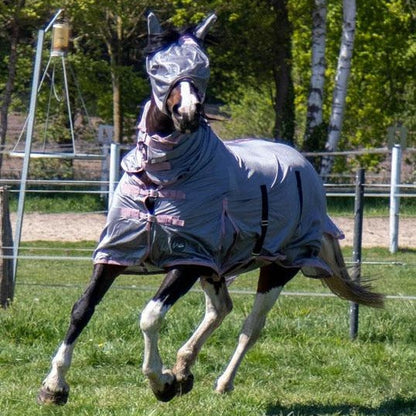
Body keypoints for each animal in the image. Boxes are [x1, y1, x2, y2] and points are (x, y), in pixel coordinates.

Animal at [38, 13, 384, 406]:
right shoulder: (117, 253)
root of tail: (304, 165)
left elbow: (150, 317)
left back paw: (221, 382)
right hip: (216, 268)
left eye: (203, 65)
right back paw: (184, 368)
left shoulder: (187, 260)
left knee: (251, 327)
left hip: (279, 267)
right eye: (157, 66)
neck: (160, 182)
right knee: (220, 309)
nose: (187, 113)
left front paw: (161, 382)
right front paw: (54, 385)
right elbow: (82, 309)